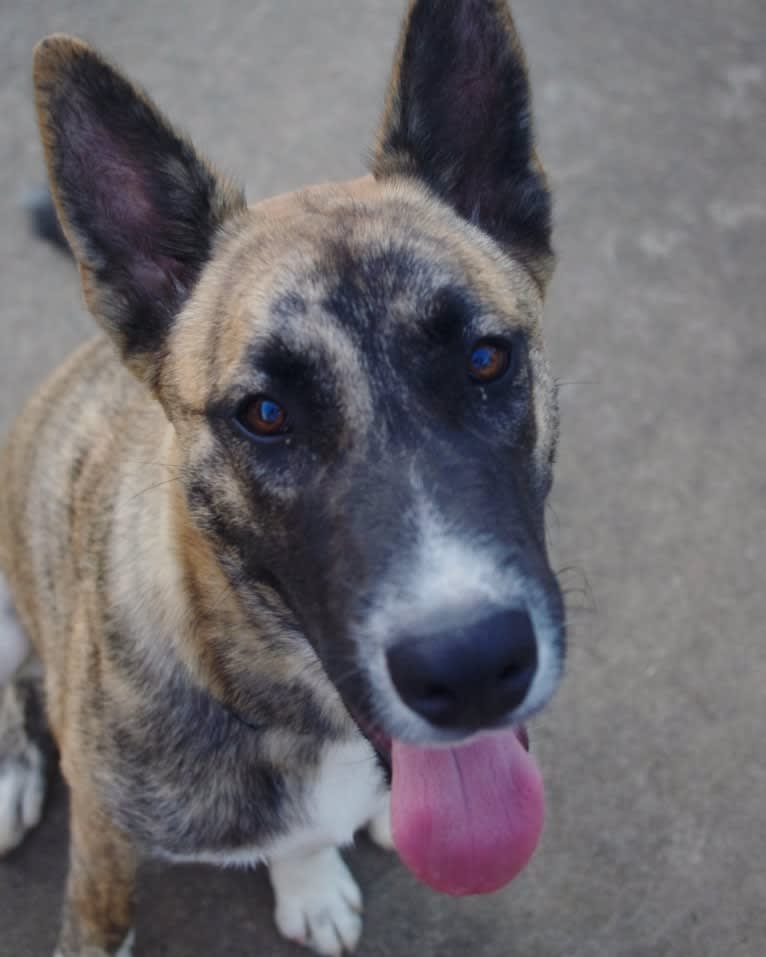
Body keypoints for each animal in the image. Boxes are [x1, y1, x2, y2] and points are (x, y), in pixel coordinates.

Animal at [0, 3, 564, 952]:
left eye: (487, 358)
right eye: (265, 413)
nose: (474, 668)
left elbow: (300, 835)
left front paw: (310, 875)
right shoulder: (104, 844)